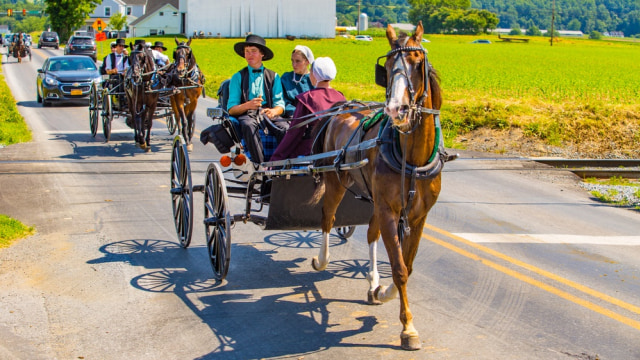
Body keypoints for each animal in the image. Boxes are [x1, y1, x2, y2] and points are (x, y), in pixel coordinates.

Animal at [308, 21, 444, 350]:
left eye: (418, 63)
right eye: (388, 65)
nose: (397, 109)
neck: (412, 157)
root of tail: (345, 107)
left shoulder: (417, 216)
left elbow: (407, 265)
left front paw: (382, 291)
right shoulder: (389, 210)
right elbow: (399, 268)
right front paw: (408, 328)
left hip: (373, 199)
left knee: (370, 233)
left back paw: (372, 283)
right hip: (336, 183)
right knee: (328, 218)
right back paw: (322, 260)